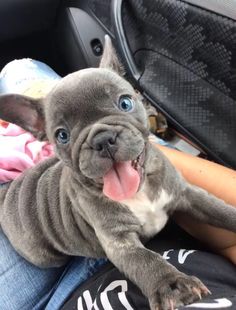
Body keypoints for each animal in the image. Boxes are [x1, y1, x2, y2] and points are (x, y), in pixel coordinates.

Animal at [0, 35, 236, 308]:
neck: (139, 190)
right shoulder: (119, 241)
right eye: (62, 135)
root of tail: (9, 190)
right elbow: (146, 261)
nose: (103, 139)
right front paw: (172, 286)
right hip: (44, 255)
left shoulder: (187, 193)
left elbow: (219, 210)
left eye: (125, 102)